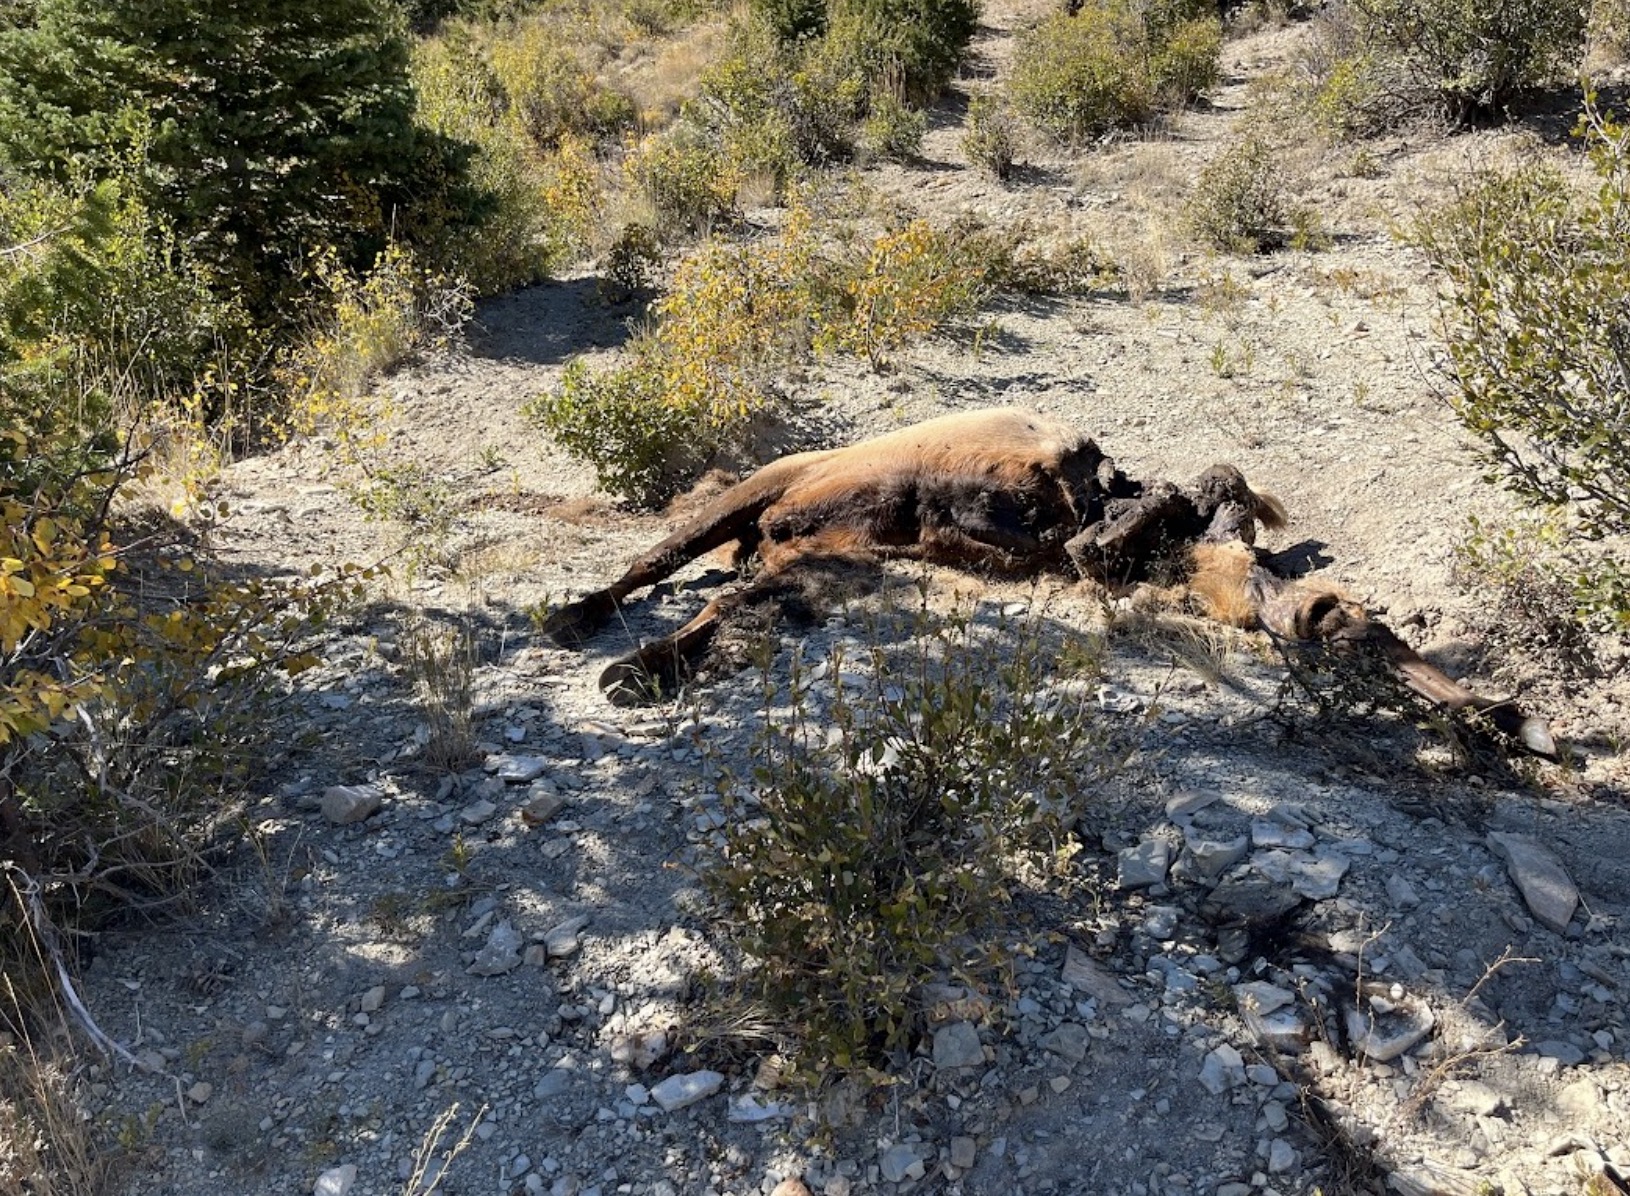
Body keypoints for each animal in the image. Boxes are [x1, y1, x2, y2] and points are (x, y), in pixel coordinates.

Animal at [544, 407, 1551, 752]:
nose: (1501, 714)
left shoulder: (838, 559)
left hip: (791, 531)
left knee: (715, 579)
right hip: (762, 488)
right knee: (656, 560)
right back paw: (576, 622)